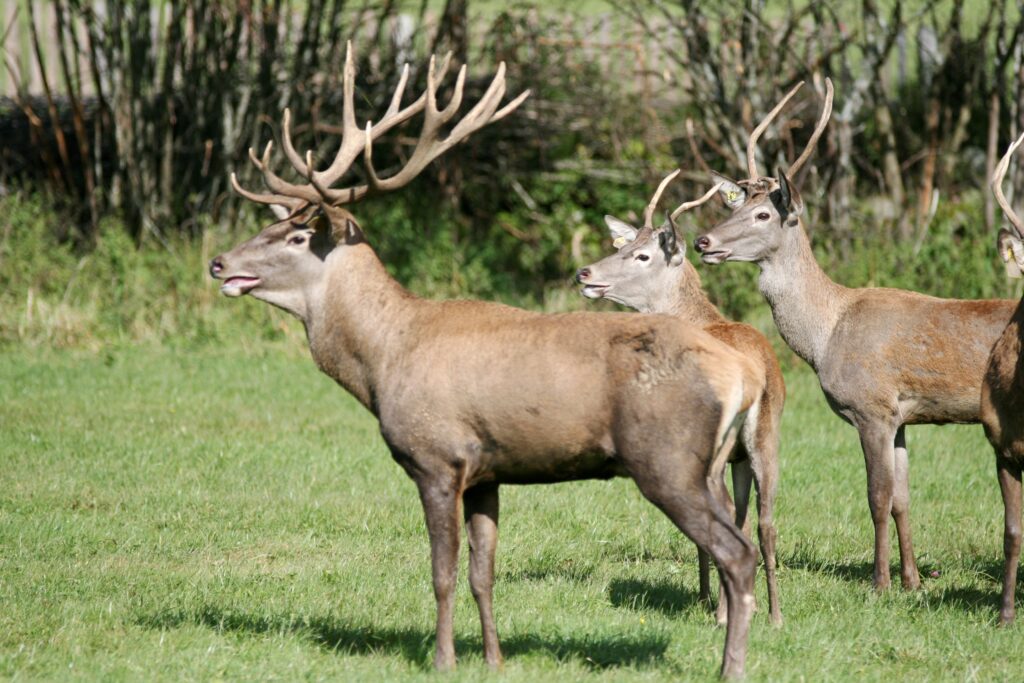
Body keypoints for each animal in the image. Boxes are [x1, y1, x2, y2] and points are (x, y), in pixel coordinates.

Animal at [577, 171, 782, 626]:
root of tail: (755, 374)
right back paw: (774, 614)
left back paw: (725, 611)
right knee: (763, 521)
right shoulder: (743, 456)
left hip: (715, 444)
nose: (584, 273)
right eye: (623, 245)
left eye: (642, 256)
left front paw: (707, 598)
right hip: (764, 440)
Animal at [692, 78, 1019, 593]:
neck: (826, 335)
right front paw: (913, 581)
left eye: (764, 215)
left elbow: (877, 497)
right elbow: (903, 498)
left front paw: (880, 582)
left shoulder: (871, 407)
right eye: (737, 205)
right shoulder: (901, 417)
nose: (703, 242)